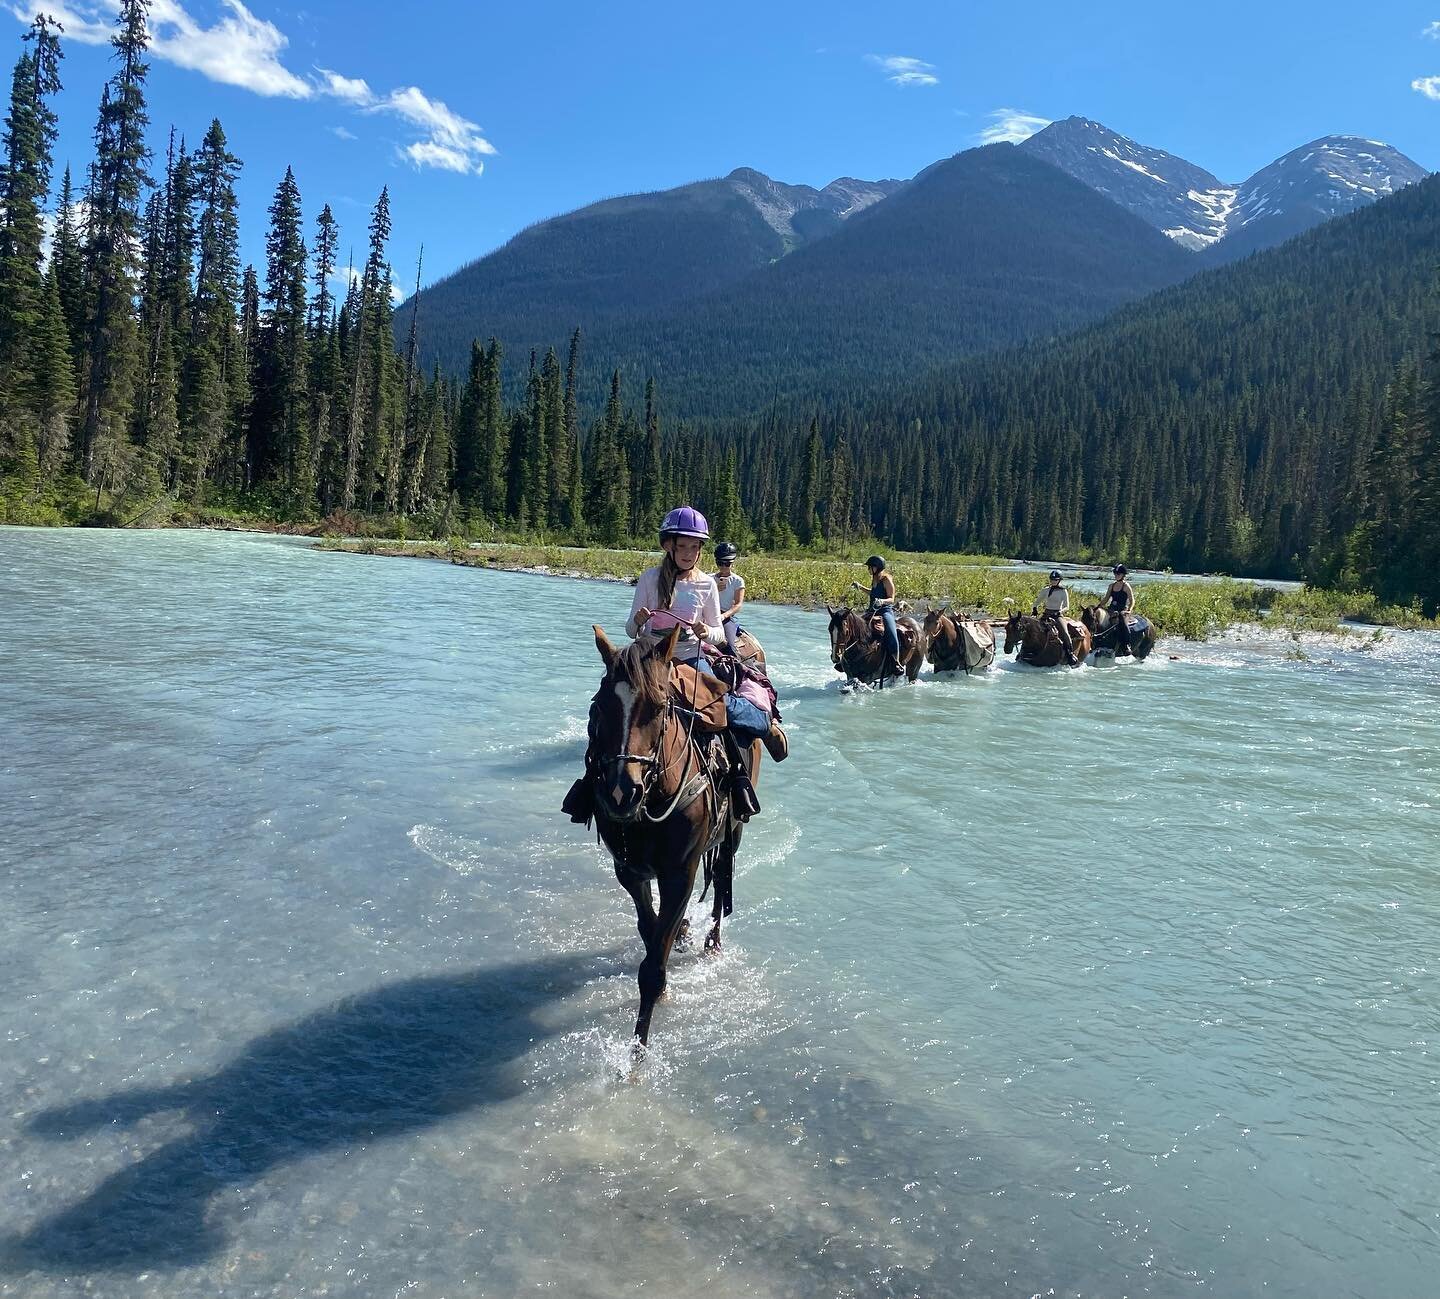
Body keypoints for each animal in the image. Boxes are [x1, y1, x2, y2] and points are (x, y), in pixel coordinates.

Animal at [590, 627, 760, 1048]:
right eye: (601, 706)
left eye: (657, 707)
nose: (621, 791)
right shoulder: (629, 870)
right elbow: (649, 929)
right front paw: (671, 943)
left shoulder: (679, 873)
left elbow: (652, 967)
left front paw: (636, 1053)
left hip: (733, 830)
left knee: (722, 880)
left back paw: (713, 941)